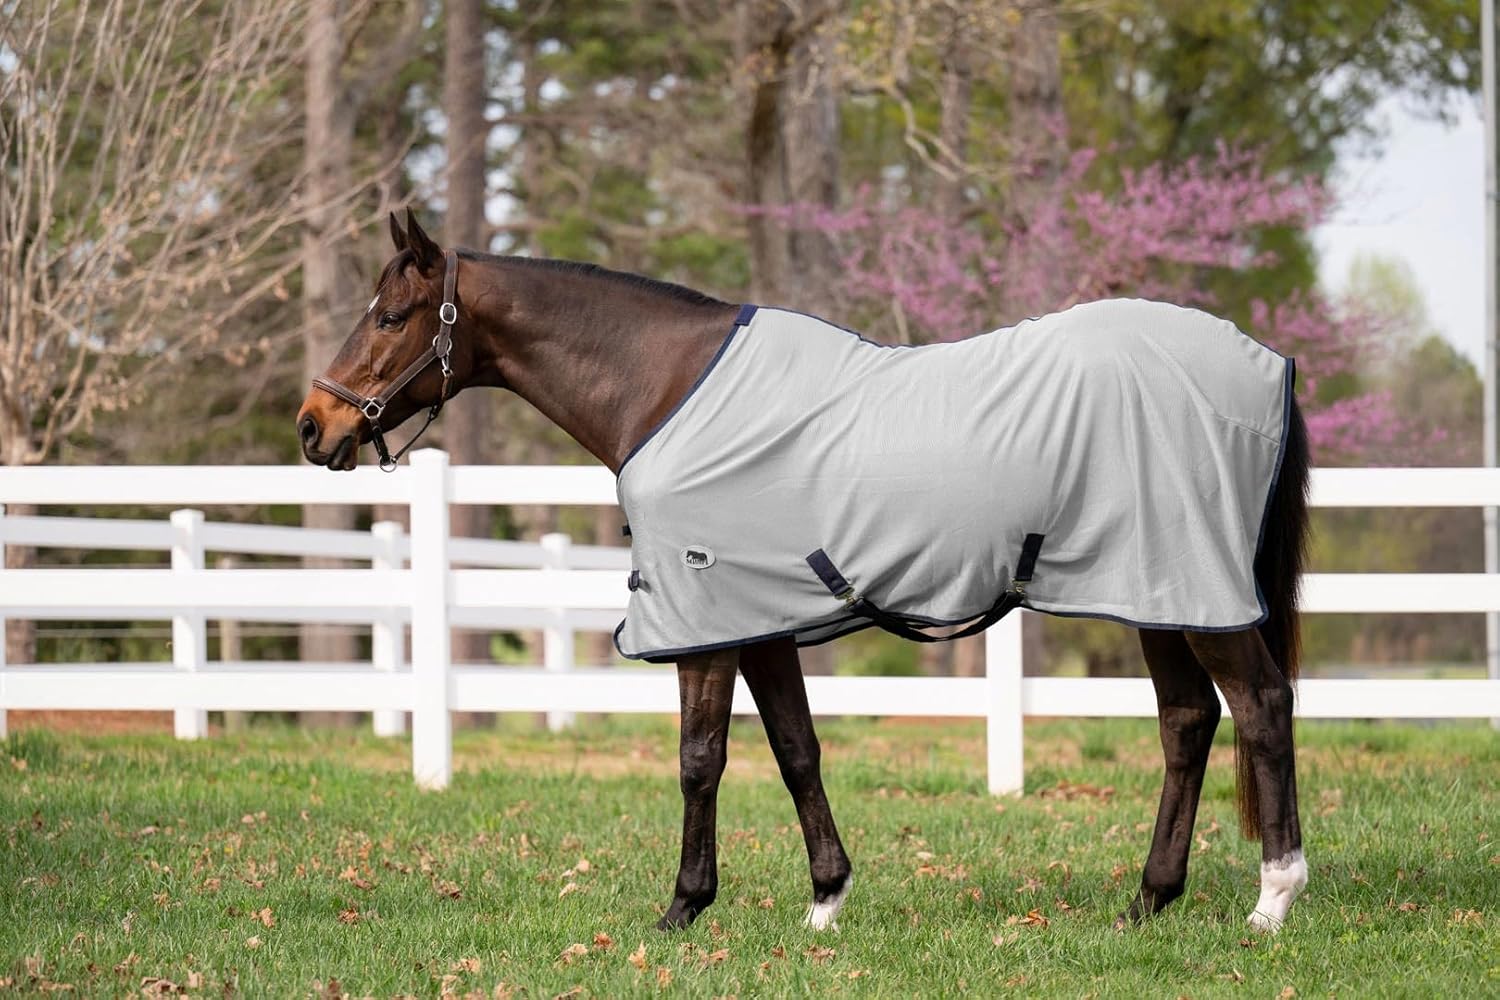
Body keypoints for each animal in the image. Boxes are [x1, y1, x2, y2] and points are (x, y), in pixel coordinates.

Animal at [297, 210, 1310, 934]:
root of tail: (1266, 362)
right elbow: (796, 749)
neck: (664, 389)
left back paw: (1272, 897)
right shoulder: (759, 619)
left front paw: (682, 908)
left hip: (1195, 593)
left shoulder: (705, 619)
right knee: (1188, 722)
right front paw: (826, 899)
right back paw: (1149, 899)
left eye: (390, 316)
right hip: (1155, 593)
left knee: (1261, 705)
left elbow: (699, 759)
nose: (315, 425)